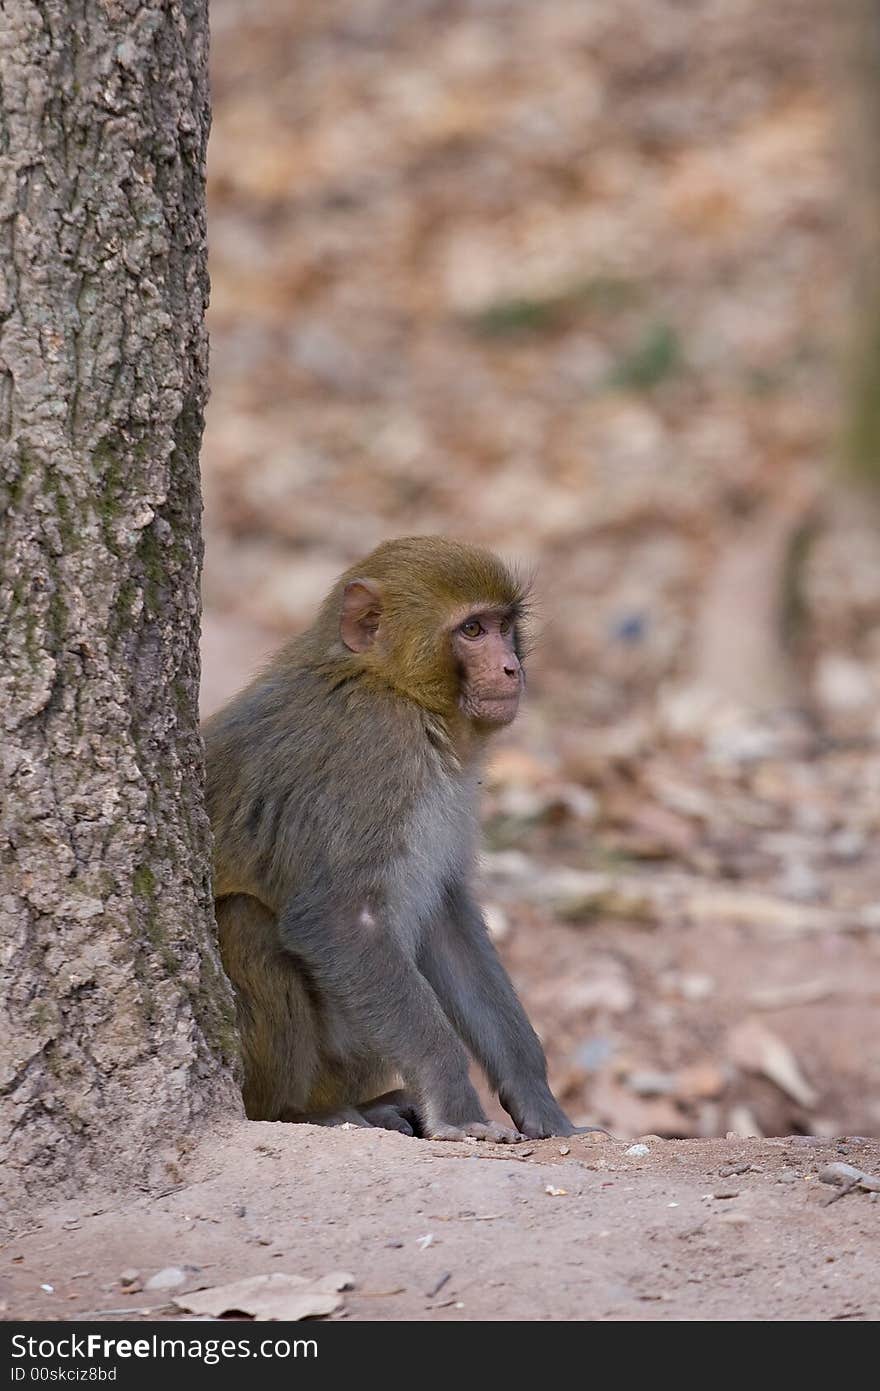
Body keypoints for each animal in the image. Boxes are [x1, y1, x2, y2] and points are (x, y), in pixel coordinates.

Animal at [202, 534, 595, 1140]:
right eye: (472, 630)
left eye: (503, 625)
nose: (511, 668)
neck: (395, 687)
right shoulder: (377, 751)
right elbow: (339, 919)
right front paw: (456, 1105)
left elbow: (447, 924)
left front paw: (539, 1100)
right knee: (247, 920)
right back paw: (302, 1111)